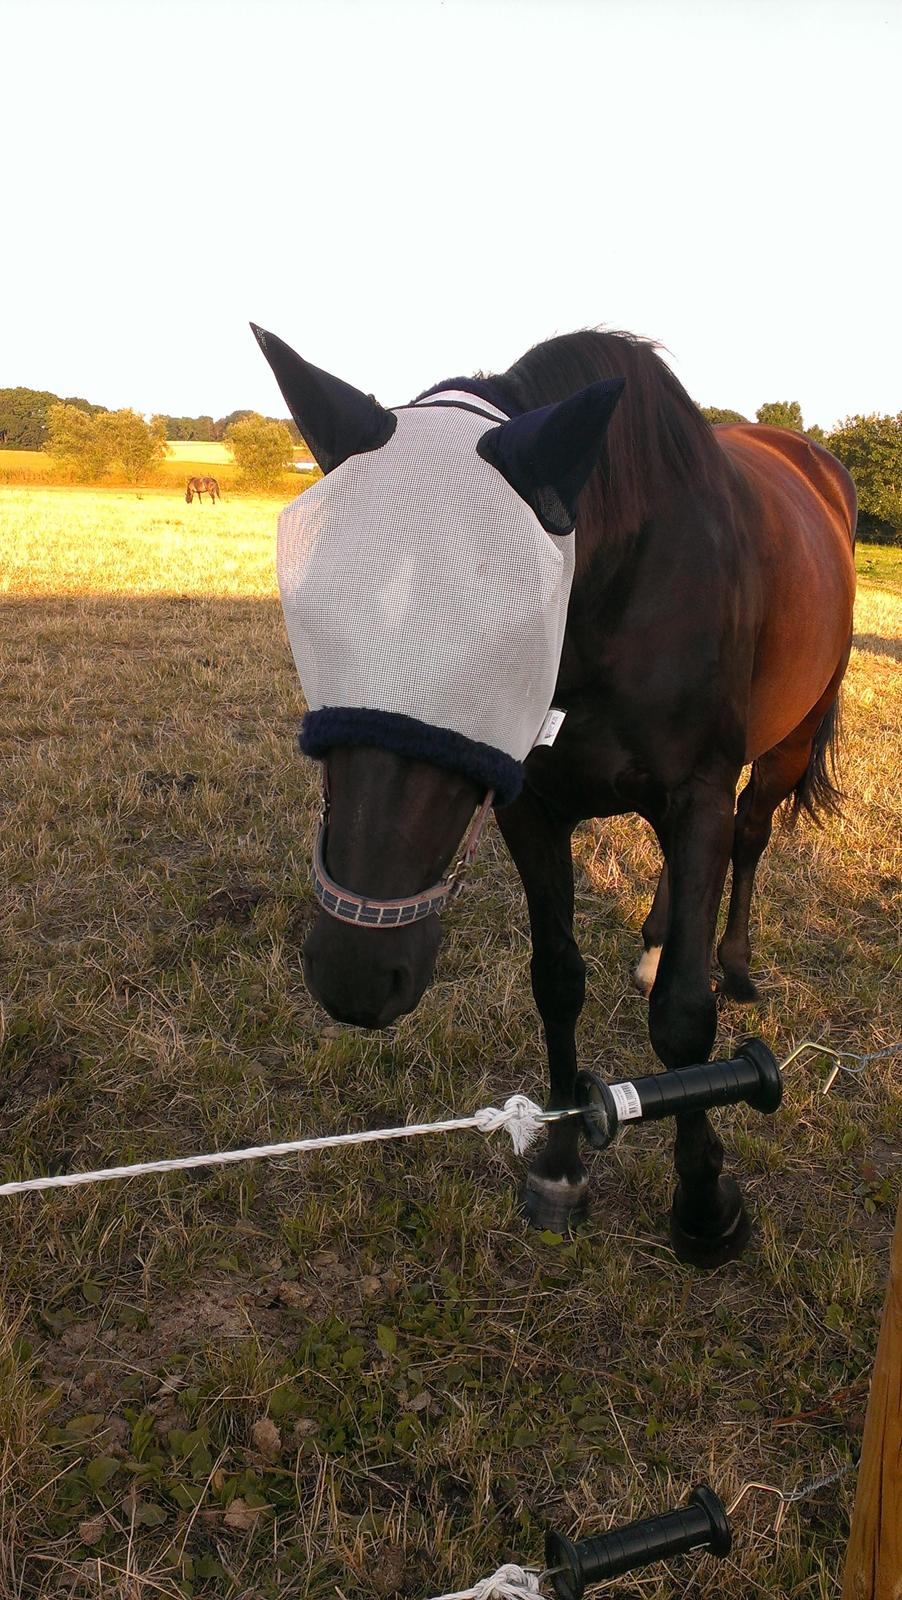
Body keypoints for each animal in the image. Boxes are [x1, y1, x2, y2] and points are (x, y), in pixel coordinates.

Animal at [252, 324, 850, 1267]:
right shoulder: (530, 809)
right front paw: (564, 1163)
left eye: (501, 645)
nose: (354, 977)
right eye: (315, 620)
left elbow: (686, 1017)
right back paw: (653, 943)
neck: (622, 592)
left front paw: (704, 1203)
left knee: (752, 840)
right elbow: (558, 983)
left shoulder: (699, 794)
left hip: (785, 747)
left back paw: (738, 963)